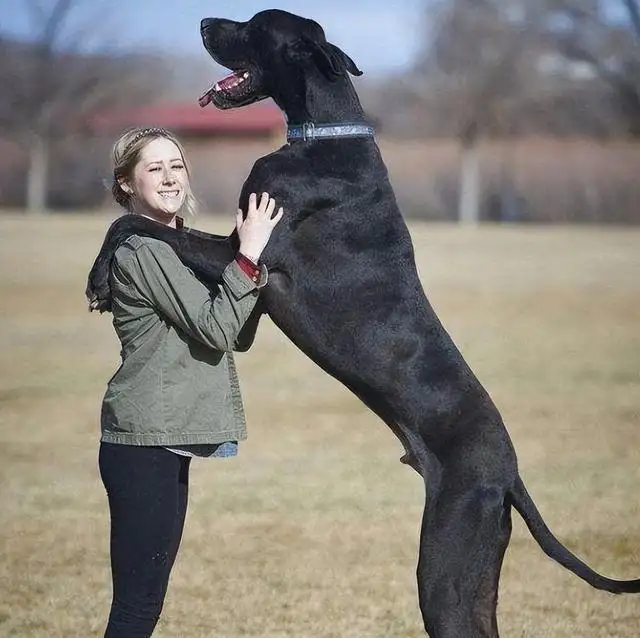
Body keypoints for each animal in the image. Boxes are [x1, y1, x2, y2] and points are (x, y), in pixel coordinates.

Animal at [86, 10, 640, 638]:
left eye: (254, 26)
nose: (204, 21)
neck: (323, 136)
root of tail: (510, 474)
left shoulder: (249, 258)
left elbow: (134, 224)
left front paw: (101, 277)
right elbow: (150, 226)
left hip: (443, 564)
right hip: (475, 565)